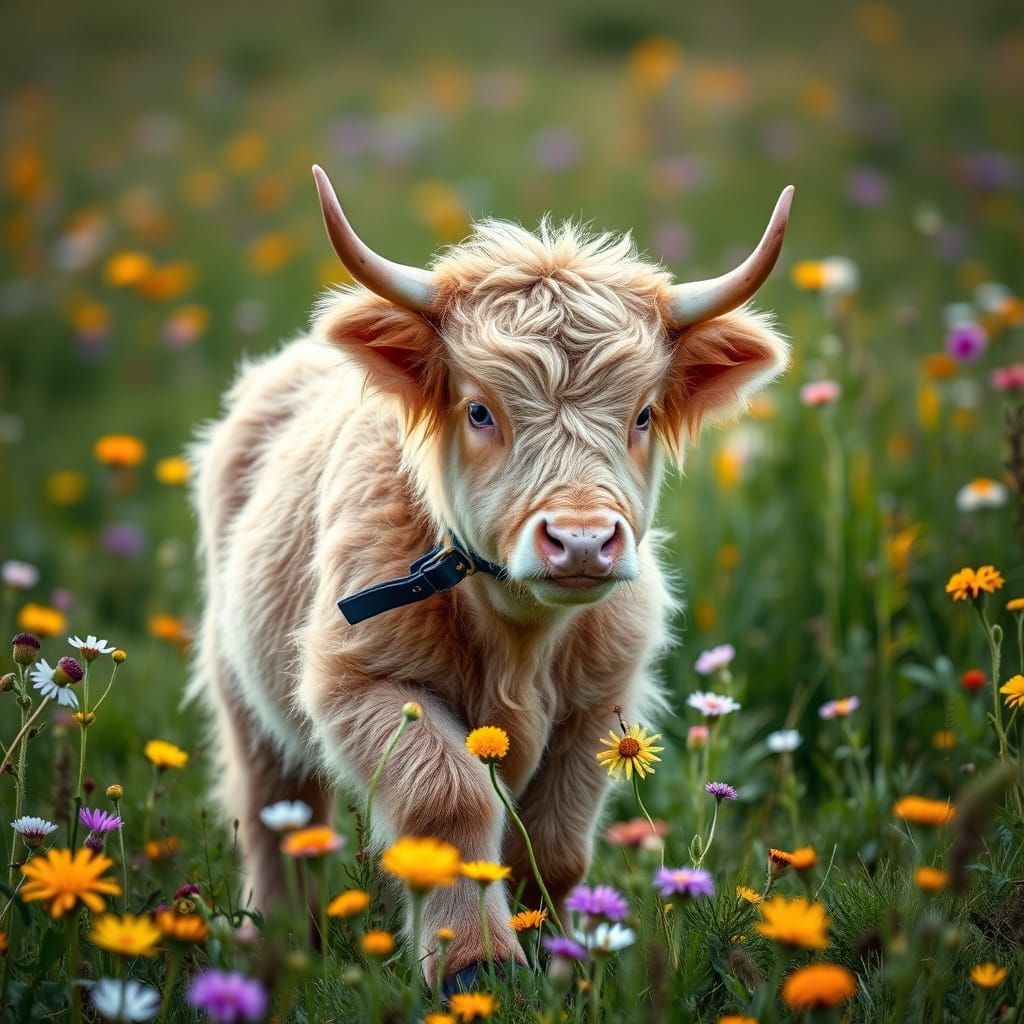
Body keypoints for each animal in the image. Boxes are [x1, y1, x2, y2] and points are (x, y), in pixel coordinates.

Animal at [188, 165, 792, 986]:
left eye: (641, 415)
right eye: (479, 411)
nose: (580, 542)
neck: (519, 637)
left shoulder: (599, 705)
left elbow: (555, 846)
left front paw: (565, 950)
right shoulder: (362, 682)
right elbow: (450, 802)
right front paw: (475, 960)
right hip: (243, 691)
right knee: (275, 815)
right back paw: (283, 946)